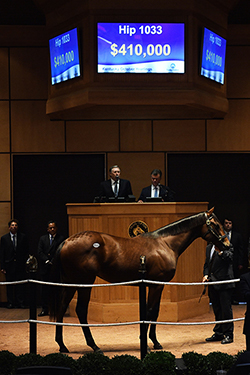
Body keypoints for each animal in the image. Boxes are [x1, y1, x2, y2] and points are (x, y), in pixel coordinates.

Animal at [48, 209, 230, 356]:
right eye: (215, 224)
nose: (228, 245)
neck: (165, 244)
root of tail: (66, 241)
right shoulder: (155, 285)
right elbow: (149, 311)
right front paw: (147, 344)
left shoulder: (158, 285)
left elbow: (155, 312)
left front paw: (155, 342)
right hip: (84, 283)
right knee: (80, 310)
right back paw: (94, 346)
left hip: (70, 283)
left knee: (61, 307)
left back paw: (62, 345)